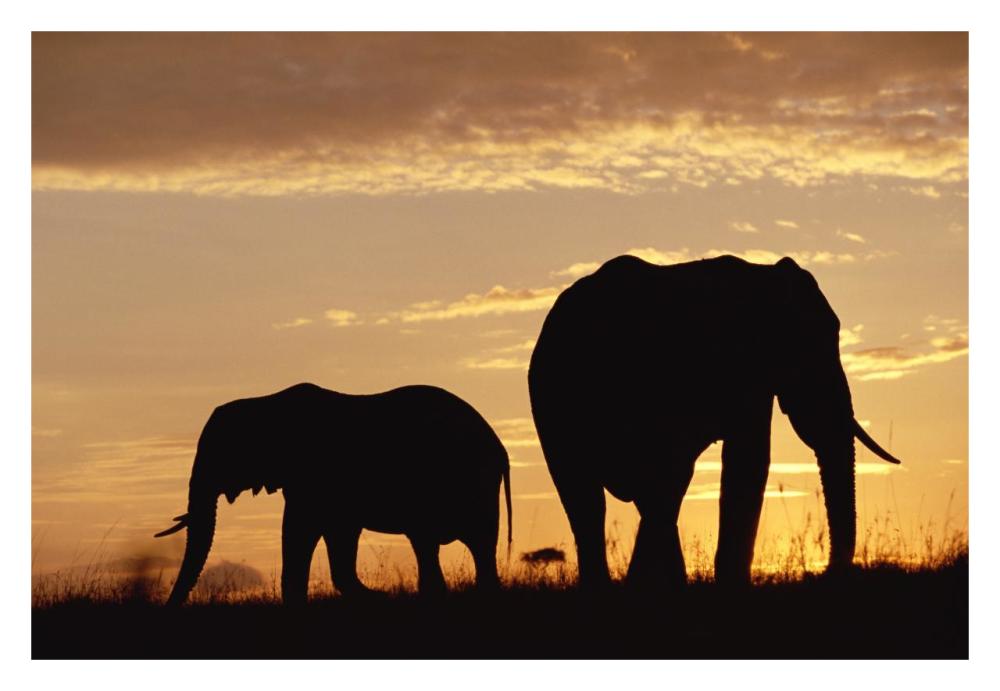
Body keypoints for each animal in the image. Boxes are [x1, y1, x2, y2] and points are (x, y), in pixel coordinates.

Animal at [155, 382, 512, 605]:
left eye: (222, 454)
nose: (169, 605)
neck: (265, 401)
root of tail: (498, 446)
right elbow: (336, 535)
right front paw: (376, 596)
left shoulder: (312, 475)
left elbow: (300, 529)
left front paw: (379, 597)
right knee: (472, 548)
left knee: (437, 542)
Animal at [527, 254, 900, 589]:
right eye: (810, 345)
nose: (827, 573)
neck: (764, 275)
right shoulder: (743, 366)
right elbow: (749, 460)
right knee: (612, 494)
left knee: (621, 497)